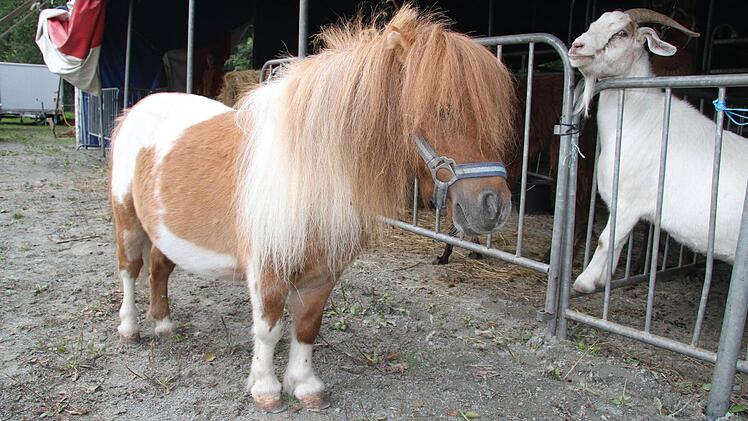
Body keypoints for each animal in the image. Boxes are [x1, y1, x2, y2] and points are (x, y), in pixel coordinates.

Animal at [109, 5, 516, 412]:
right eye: (441, 110)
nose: (493, 206)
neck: (307, 169)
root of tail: (139, 107)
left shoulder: (324, 271)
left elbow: (306, 327)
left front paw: (305, 386)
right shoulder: (267, 270)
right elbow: (269, 329)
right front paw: (266, 389)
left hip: (164, 231)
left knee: (159, 269)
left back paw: (164, 325)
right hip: (127, 219)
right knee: (131, 269)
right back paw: (130, 327)